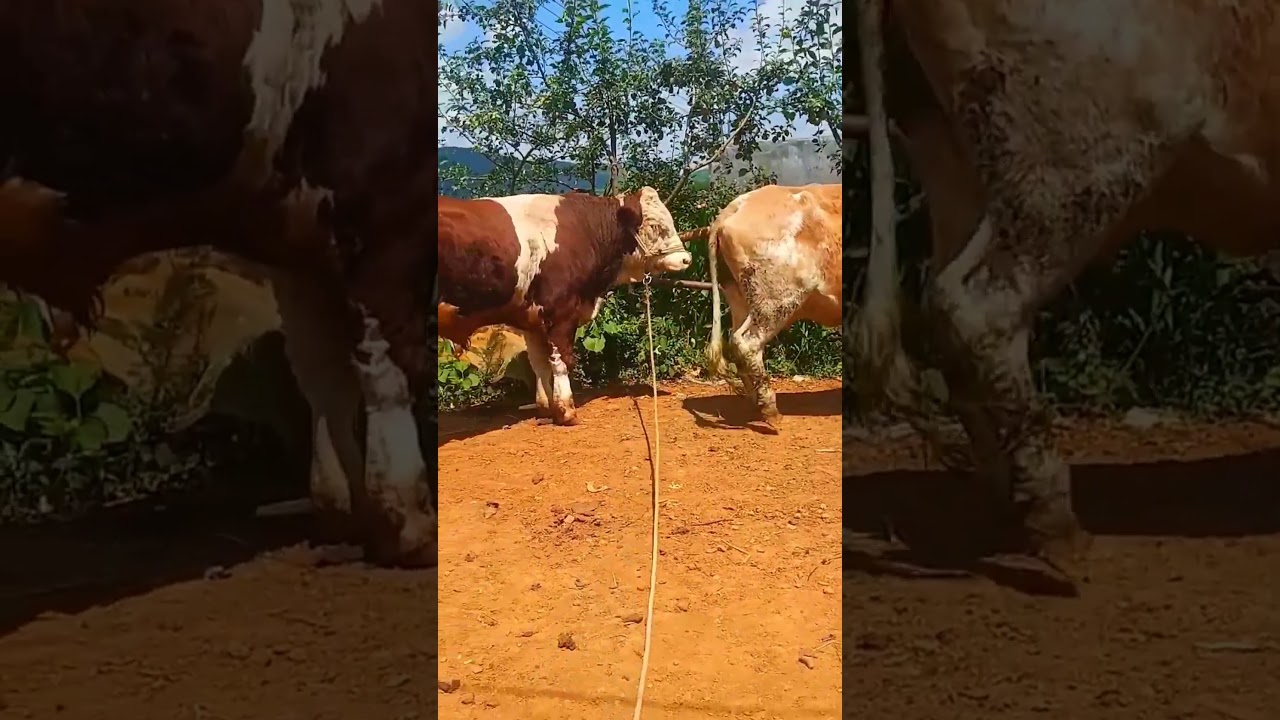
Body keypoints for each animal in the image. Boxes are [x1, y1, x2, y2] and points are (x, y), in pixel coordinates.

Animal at [0, 0, 436, 567]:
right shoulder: (384, 194)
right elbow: (387, 364)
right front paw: (407, 525)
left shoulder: (296, 235)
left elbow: (321, 371)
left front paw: (343, 508)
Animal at [437, 189, 692, 425]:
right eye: (654, 225)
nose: (686, 259)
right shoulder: (561, 312)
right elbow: (561, 361)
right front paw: (566, 411)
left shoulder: (531, 319)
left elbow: (539, 364)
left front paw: (546, 406)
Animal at [696, 184, 842, 429]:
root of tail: (734, 207)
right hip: (777, 301)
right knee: (747, 343)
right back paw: (769, 408)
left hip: (741, 297)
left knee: (737, 342)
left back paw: (756, 403)